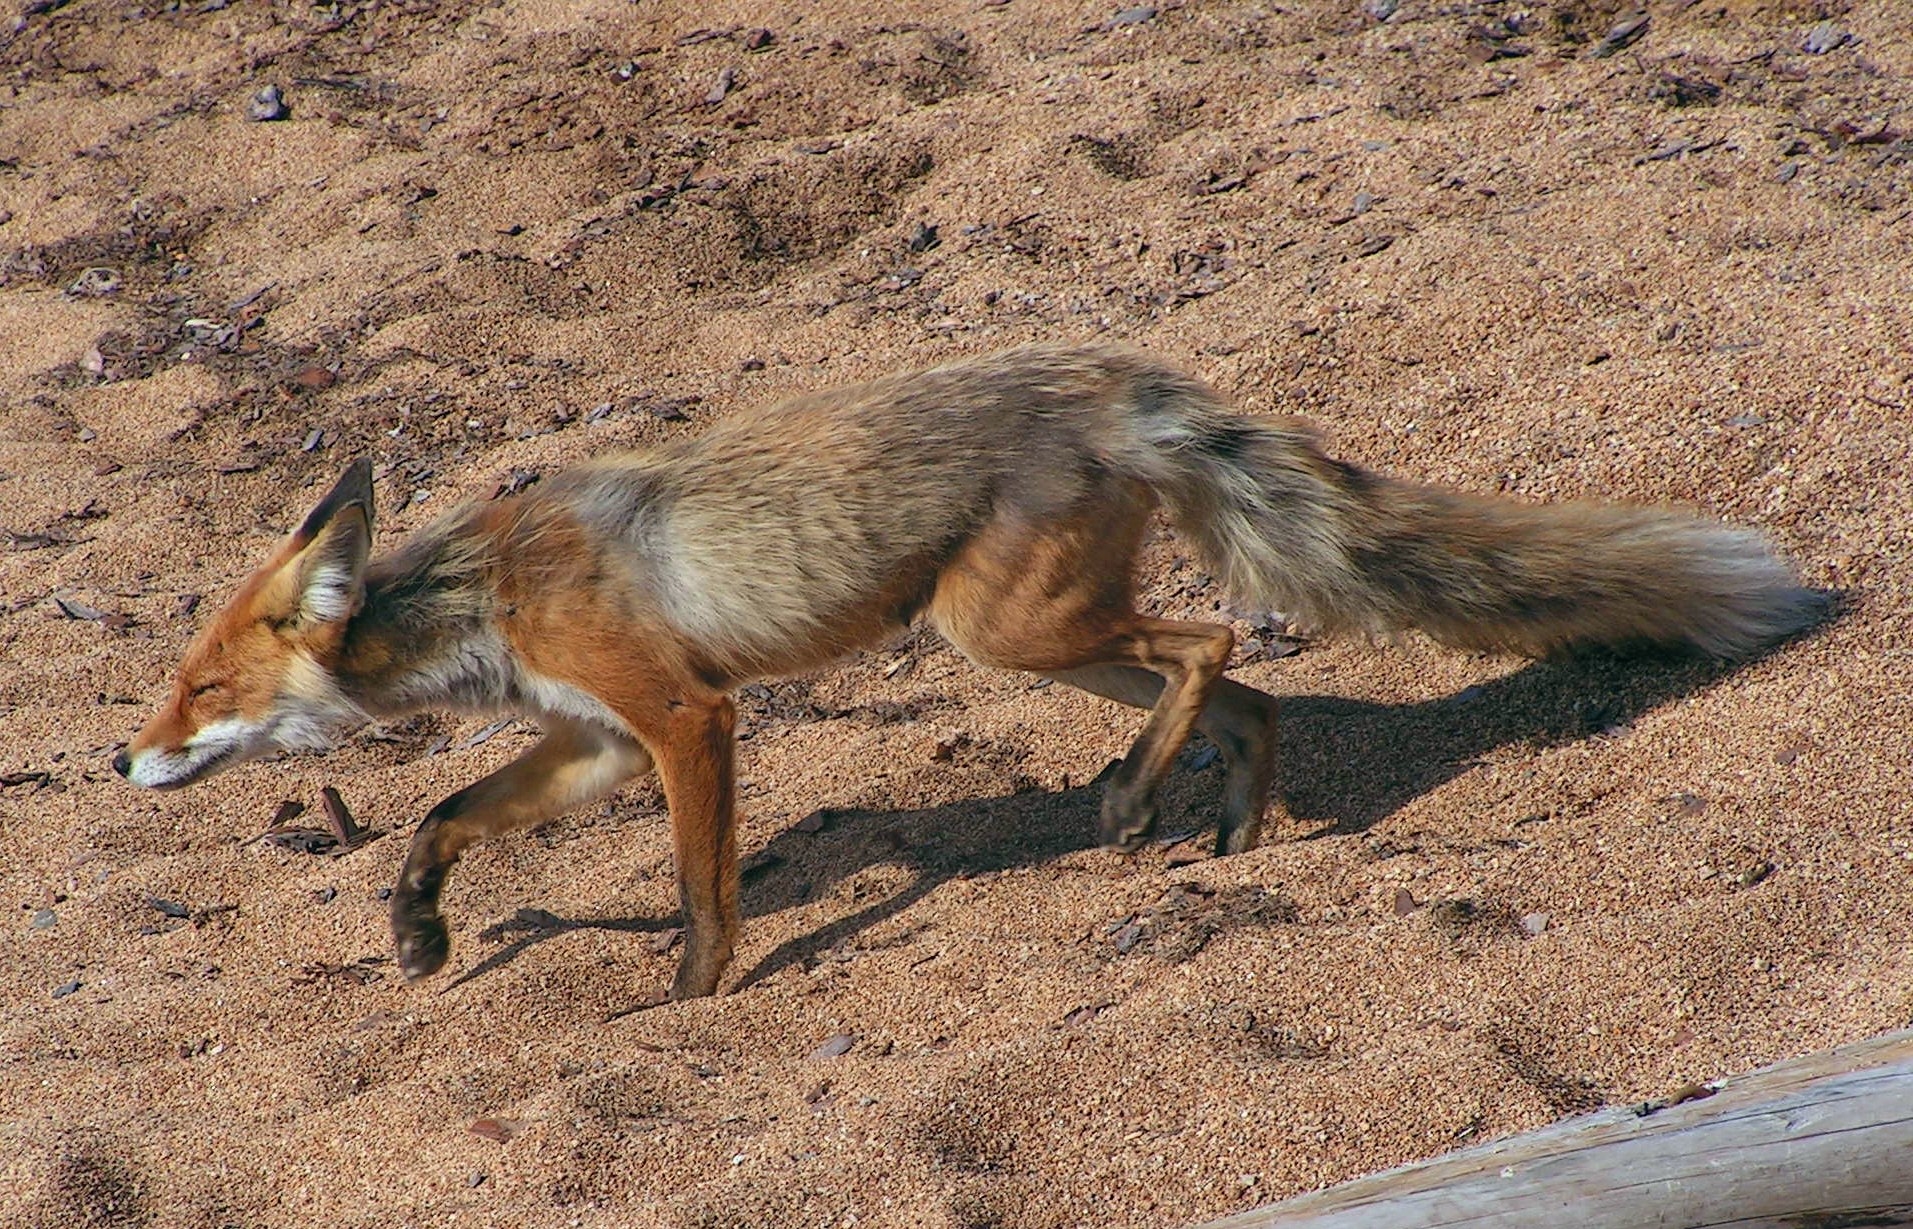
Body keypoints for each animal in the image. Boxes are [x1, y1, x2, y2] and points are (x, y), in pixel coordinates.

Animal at [119, 342, 1821, 995]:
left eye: (197, 693)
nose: (119, 763)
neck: (489, 596)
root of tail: (1111, 378)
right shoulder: (597, 734)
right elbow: (440, 819)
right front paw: (415, 929)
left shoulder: (685, 717)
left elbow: (701, 891)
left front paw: (693, 998)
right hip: (1041, 640)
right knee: (1249, 687)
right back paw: (1228, 824)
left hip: (1004, 634)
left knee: (1216, 642)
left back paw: (1136, 805)